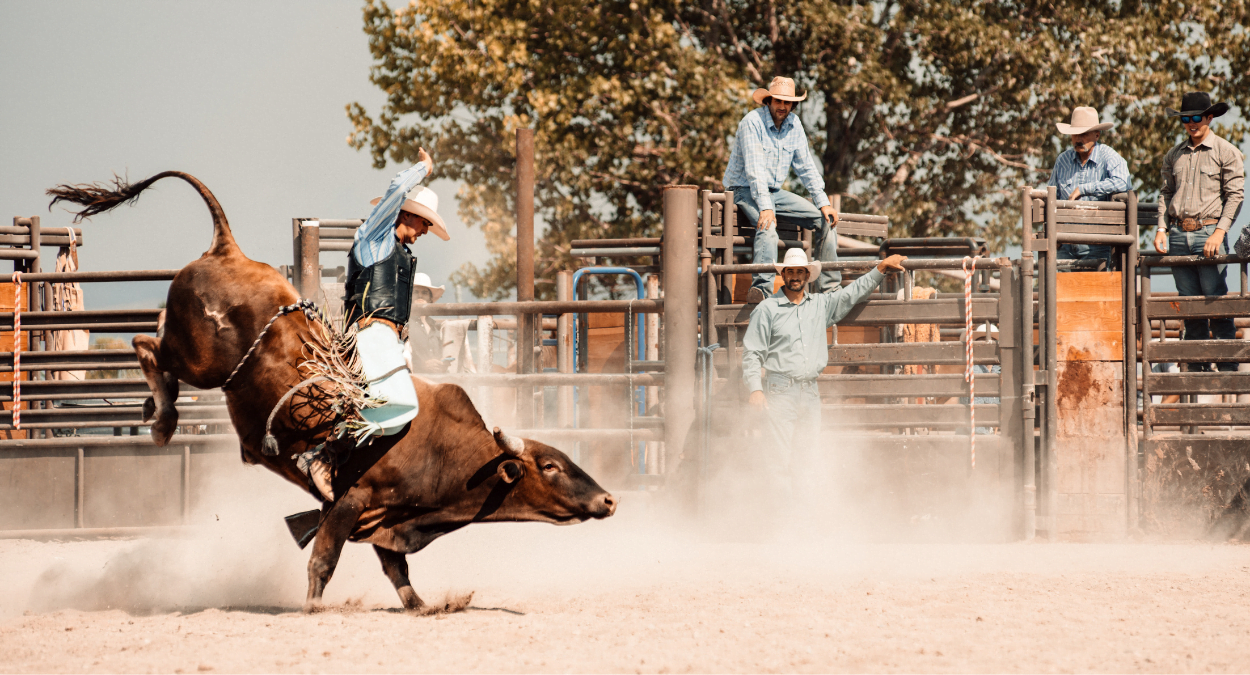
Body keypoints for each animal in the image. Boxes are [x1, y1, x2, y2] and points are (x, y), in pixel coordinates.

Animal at [47, 170, 615, 612]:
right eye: (551, 466)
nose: (609, 499)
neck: (443, 451)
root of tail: (228, 249)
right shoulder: (353, 500)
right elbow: (324, 558)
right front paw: (314, 606)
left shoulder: (386, 519)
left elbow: (397, 570)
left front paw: (425, 605)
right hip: (201, 360)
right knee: (147, 345)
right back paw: (163, 419)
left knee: (153, 339)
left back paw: (153, 408)